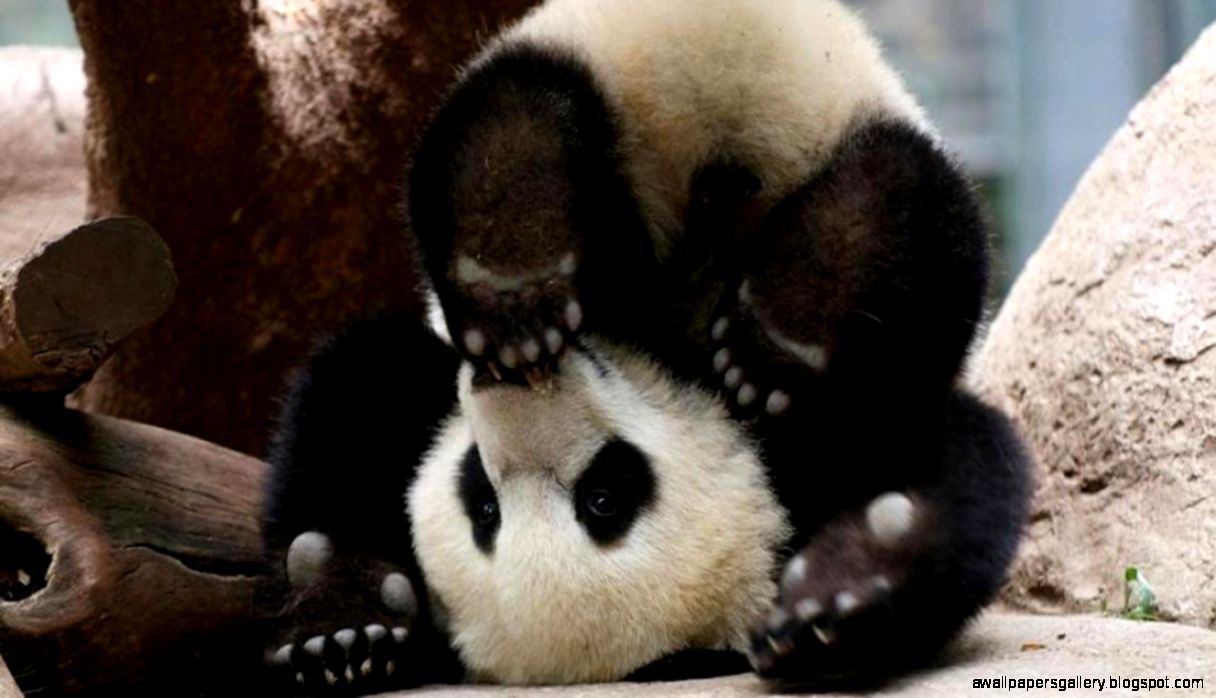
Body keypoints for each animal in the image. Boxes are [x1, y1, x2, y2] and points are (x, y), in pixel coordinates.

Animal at [259, 0, 1031, 694]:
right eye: (482, 503)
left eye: (605, 497)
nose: (507, 388)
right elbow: (355, 395)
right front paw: (345, 616)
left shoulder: (825, 432)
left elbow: (961, 463)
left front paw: (848, 582)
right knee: (522, 107)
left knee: (910, 209)